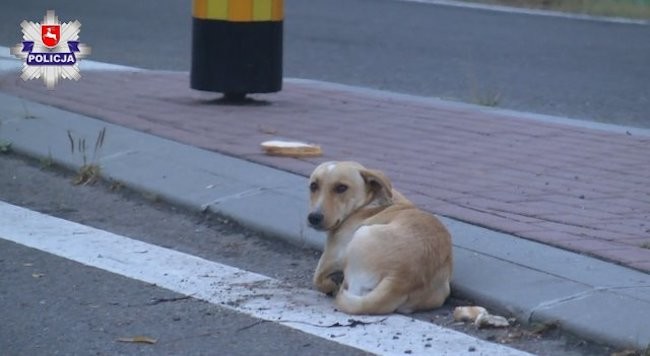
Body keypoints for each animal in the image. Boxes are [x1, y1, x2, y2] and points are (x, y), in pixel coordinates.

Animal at [308, 161, 450, 314]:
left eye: (341, 188)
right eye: (313, 186)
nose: (313, 217)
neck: (370, 202)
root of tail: (400, 280)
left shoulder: (330, 258)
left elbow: (317, 280)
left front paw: (329, 285)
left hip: (361, 234)